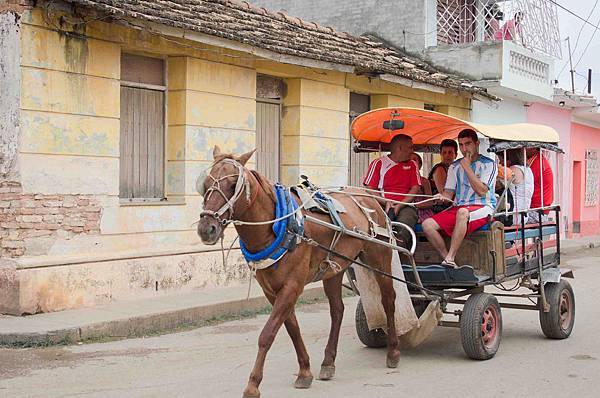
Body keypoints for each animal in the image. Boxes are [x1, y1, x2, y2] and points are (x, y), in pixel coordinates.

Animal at [197, 146, 400, 398]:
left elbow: (267, 334)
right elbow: (291, 328)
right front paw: (305, 371)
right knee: (337, 310)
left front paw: (253, 385)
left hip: (379, 258)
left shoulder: (292, 286)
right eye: (205, 183)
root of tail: (368, 197)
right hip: (333, 269)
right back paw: (328, 362)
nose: (206, 229)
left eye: (234, 184)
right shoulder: (272, 290)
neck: (277, 226)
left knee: (388, 300)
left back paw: (393, 352)